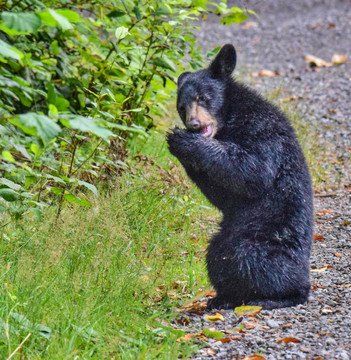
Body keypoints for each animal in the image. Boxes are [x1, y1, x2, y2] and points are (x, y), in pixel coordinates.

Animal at [166, 44, 314, 310]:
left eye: (203, 98)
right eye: (182, 107)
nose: (193, 124)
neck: (229, 118)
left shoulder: (261, 130)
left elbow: (253, 171)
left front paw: (185, 141)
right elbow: (223, 193)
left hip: (262, 239)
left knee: (248, 259)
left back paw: (272, 296)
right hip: (227, 235)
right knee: (217, 255)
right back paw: (222, 298)